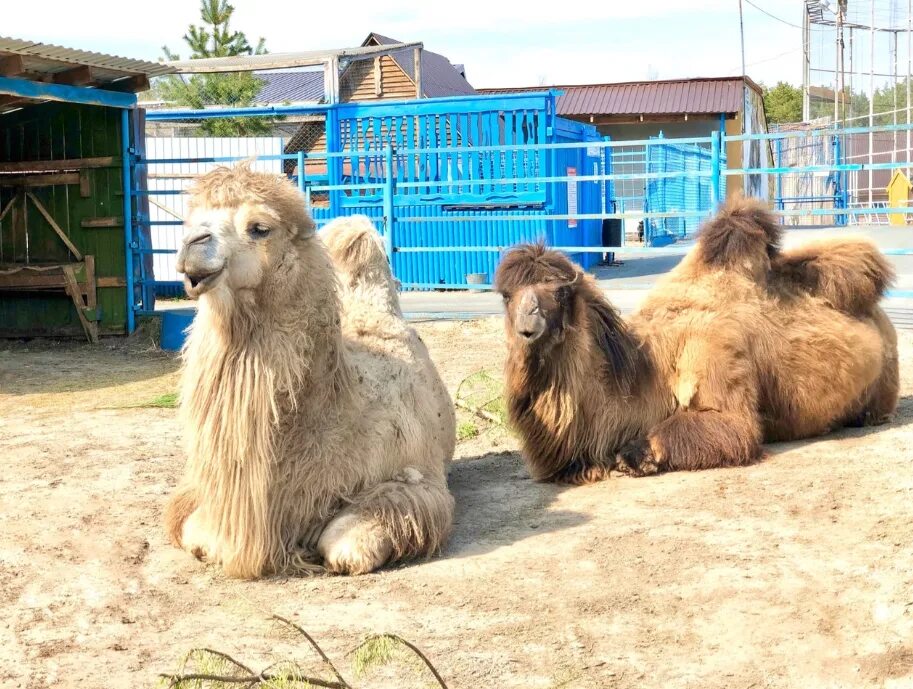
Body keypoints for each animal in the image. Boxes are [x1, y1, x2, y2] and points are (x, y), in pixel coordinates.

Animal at [496, 195, 896, 484]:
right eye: (506, 295)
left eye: (560, 292)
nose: (528, 323)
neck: (647, 370)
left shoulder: (714, 355)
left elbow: (732, 429)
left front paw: (634, 458)